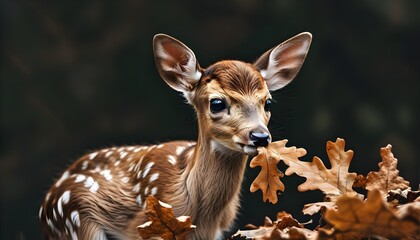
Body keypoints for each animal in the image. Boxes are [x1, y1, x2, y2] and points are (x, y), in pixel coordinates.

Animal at [38, 32, 312, 240]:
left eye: (267, 102)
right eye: (217, 103)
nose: (259, 136)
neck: (201, 216)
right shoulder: (141, 228)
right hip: (75, 221)